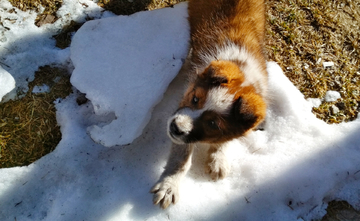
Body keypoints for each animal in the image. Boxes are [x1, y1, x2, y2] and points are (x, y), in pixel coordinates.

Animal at [150, 0, 268, 209]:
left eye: (213, 124)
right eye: (195, 99)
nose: (175, 127)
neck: (243, 69)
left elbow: (225, 140)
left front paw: (218, 157)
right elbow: (181, 157)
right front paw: (169, 185)